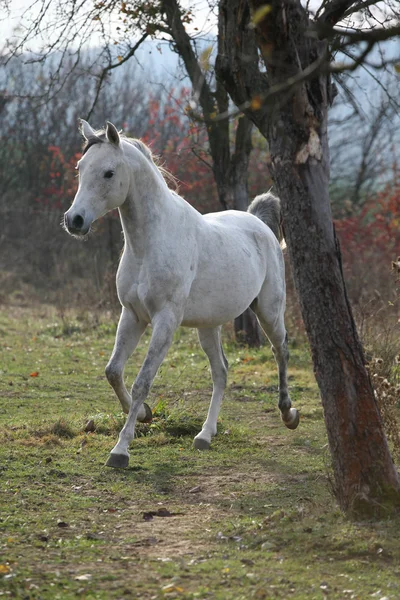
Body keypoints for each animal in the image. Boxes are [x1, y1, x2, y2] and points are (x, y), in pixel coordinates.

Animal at [63, 120, 300, 468]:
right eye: (80, 168)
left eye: (108, 172)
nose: (74, 220)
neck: (150, 242)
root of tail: (259, 223)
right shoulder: (132, 315)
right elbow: (113, 371)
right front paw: (145, 415)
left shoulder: (166, 320)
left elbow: (143, 380)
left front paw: (121, 450)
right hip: (209, 325)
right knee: (221, 371)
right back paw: (205, 435)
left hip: (269, 310)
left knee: (280, 350)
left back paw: (288, 414)